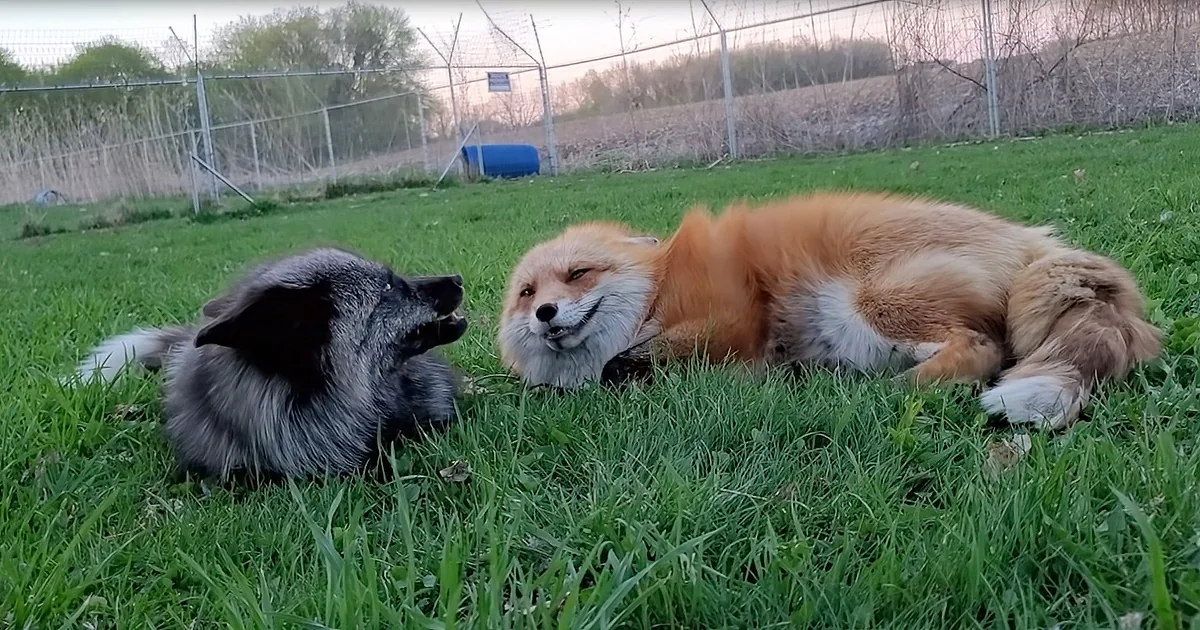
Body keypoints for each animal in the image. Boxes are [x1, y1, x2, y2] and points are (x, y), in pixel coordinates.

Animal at [497, 191, 1163, 431]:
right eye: (527, 292)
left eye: (578, 274)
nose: (546, 313)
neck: (655, 293)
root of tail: (1034, 241)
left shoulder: (731, 315)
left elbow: (626, 364)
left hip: (872, 302)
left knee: (983, 350)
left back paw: (887, 389)